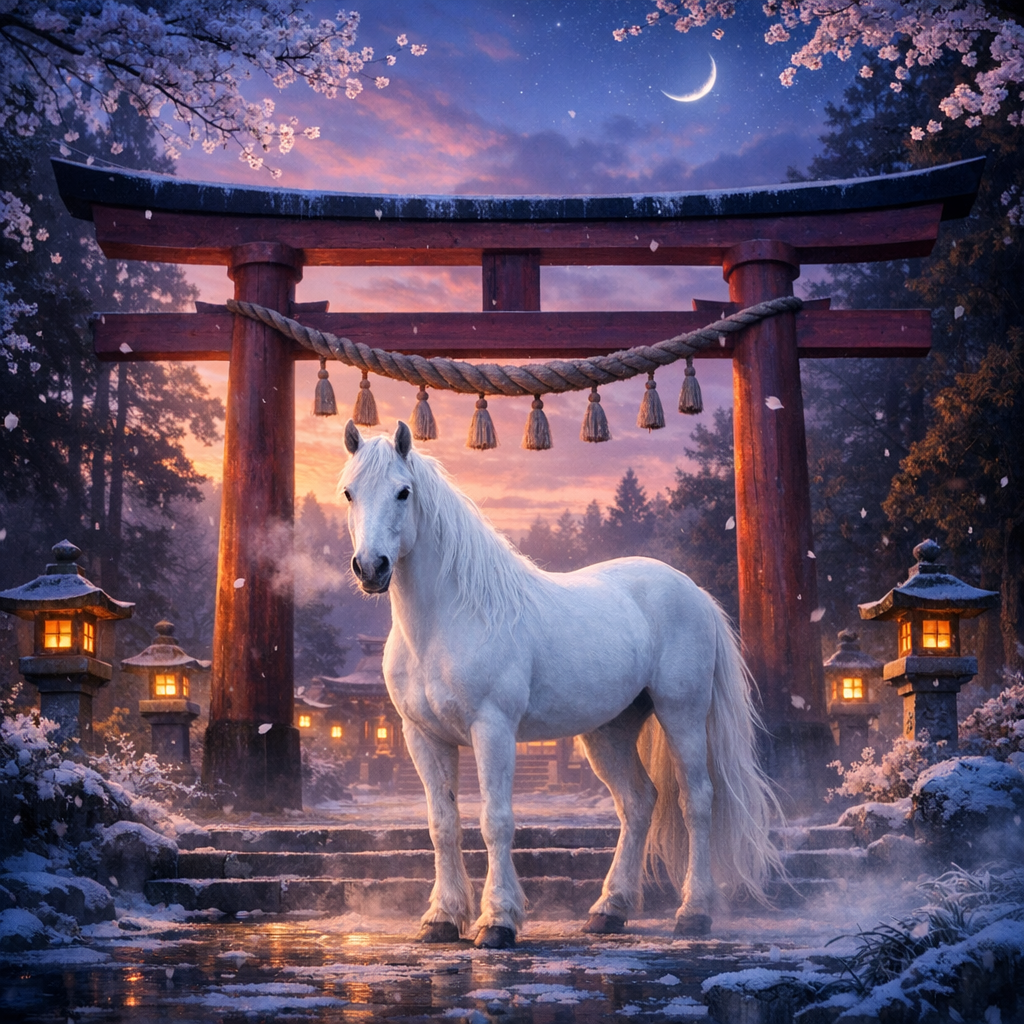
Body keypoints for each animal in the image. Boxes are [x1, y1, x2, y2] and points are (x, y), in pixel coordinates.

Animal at [339, 419, 782, 949]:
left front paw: (498, 921)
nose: (371, 567)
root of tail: (692, 590)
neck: (446, 620)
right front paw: (442, 919)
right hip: (609, 731)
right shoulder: (422, 736)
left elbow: (496, 821)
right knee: (638, 803)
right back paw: (609, 911)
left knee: (696, 800)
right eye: (348, 492)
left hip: (683, 716)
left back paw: (693, 913)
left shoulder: (492, 730)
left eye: (403, 492)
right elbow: (442, 824)